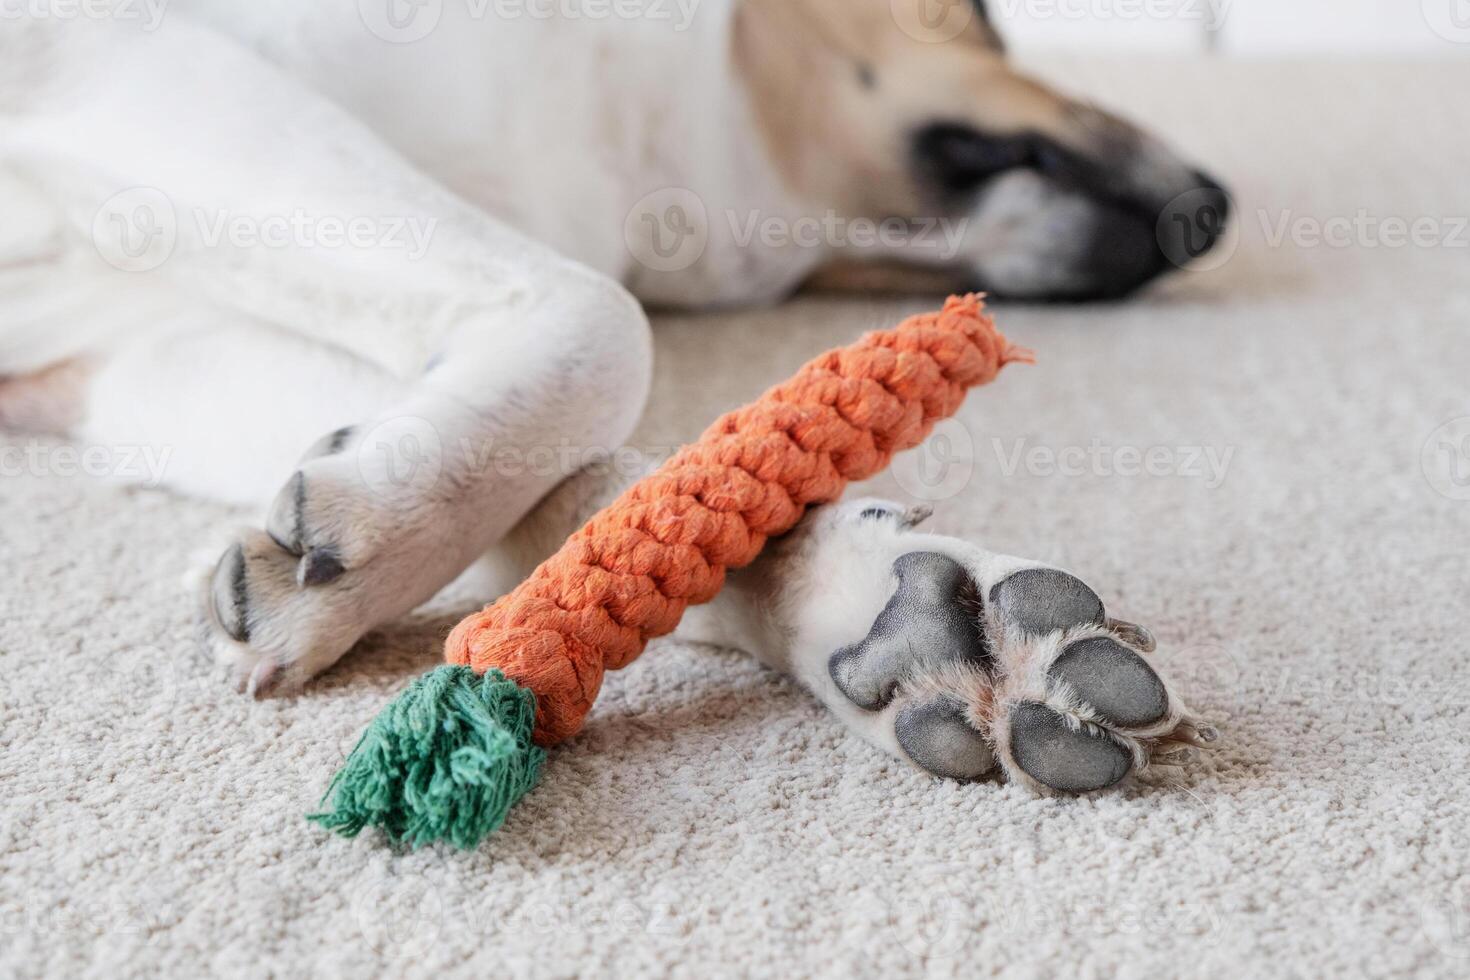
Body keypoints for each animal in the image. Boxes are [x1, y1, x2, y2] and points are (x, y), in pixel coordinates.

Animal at [0, 0, 1217, 793]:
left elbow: (617, 487)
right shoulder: (119, 61)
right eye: (988, 19)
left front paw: (899, 610)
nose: (1215, 208)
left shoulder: (144, 353)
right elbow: (606, 328)